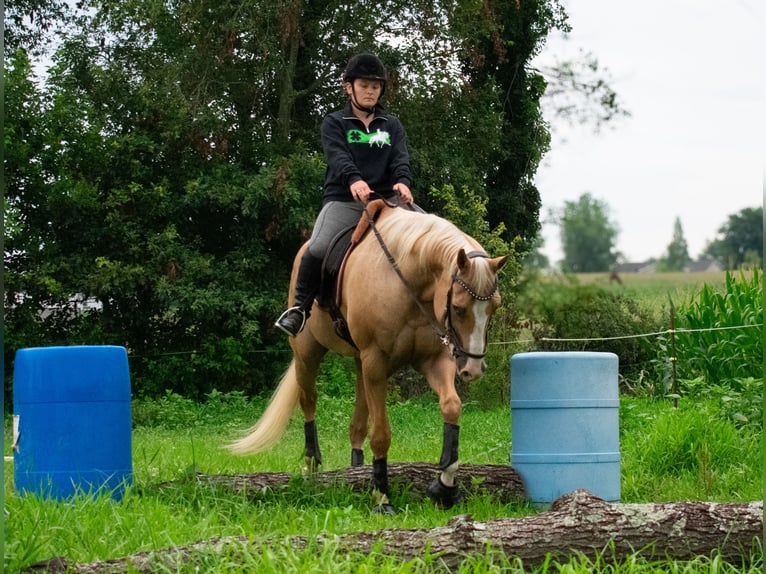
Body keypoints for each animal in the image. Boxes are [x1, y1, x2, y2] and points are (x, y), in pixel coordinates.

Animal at [231, 202, 508, 512]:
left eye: (494, 307)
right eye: (459, 308)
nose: (473, 368)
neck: (408, 283)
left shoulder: (434, 361)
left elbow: (451, 407)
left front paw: (444, 489)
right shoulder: (376, 362)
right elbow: (381, 434)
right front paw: (382, 497)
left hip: (359, 362)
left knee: (357, 423)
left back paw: (357, 470)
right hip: (307, 352)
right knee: (309, 401)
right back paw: (312, 464)